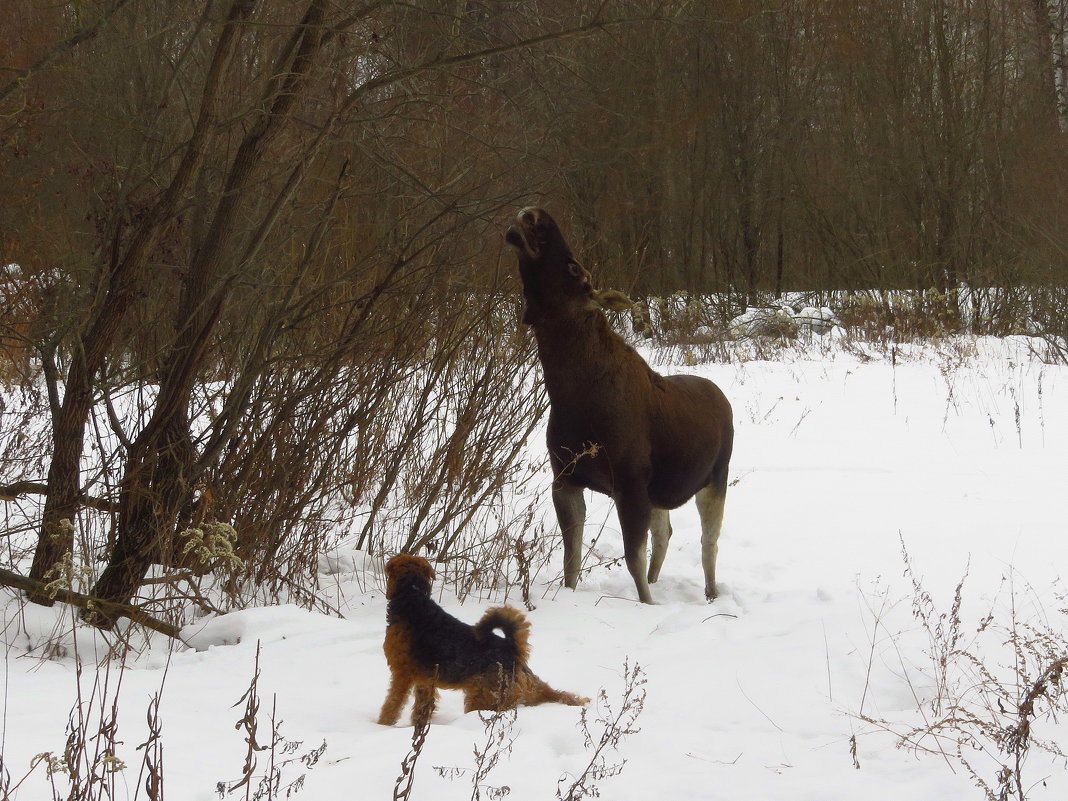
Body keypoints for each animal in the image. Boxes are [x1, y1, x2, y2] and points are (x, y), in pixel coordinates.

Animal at [378, 555, 593, 730]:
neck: (412, 597)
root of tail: (513, 650)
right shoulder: (425, 680)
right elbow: (422, 709)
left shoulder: (402, 674)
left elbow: (392, 704)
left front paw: (381, 725)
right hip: (530, 688)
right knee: (558, 693)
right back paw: (580, 701)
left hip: (481, 697)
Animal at [504, 207, 730, 602]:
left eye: (576, 269)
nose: (534, 215)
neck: (571, 397)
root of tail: (723, 398)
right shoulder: (565, 479)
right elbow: (572, 560)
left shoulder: (630, 484)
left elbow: (632, 558)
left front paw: (646, 603)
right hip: (660, 491)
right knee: (665, 533)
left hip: (715, 478)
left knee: (708, 544)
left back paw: (711, 594)